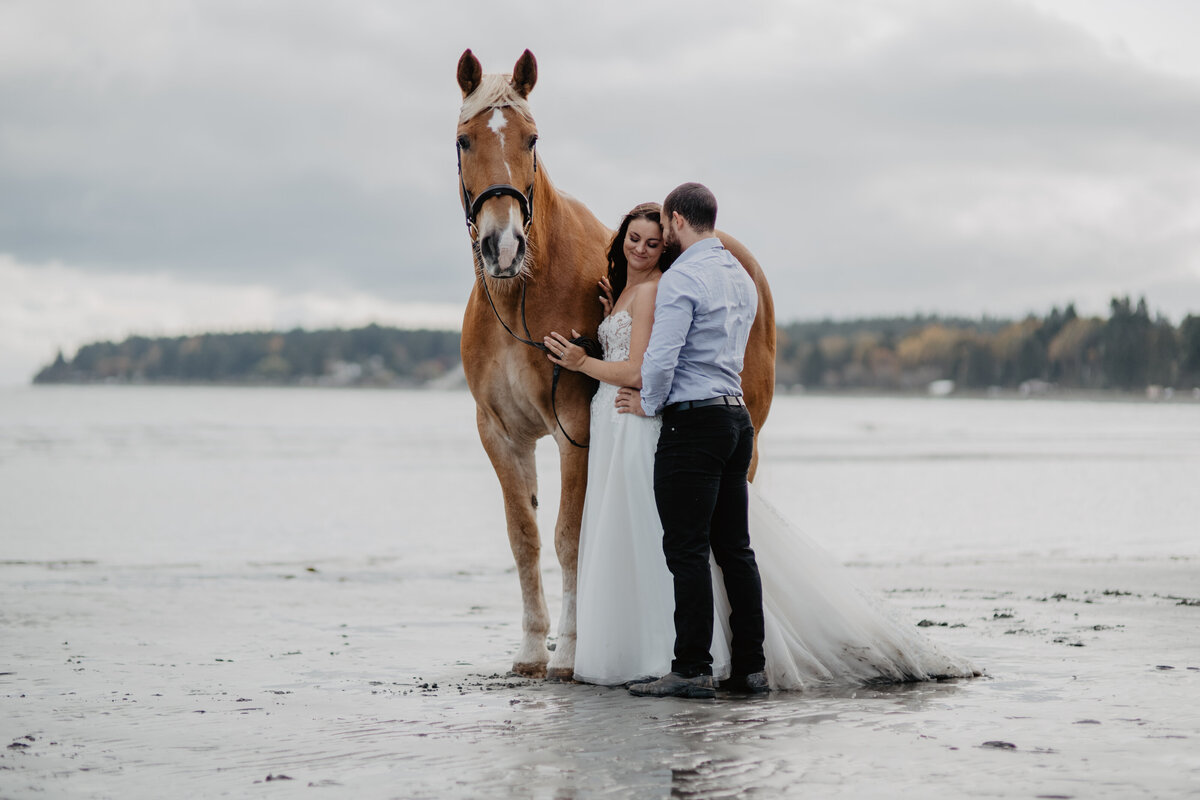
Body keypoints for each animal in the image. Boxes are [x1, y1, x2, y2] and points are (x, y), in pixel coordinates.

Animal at [451, 47, 777, 681]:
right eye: (464, 139)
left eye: (532, 139)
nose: (503, 245)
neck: (523, 292)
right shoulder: (499, 433)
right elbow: (523, 538)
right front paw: (531, 649)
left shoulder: (574, 429)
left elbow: (569, 537)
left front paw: (570, 652)